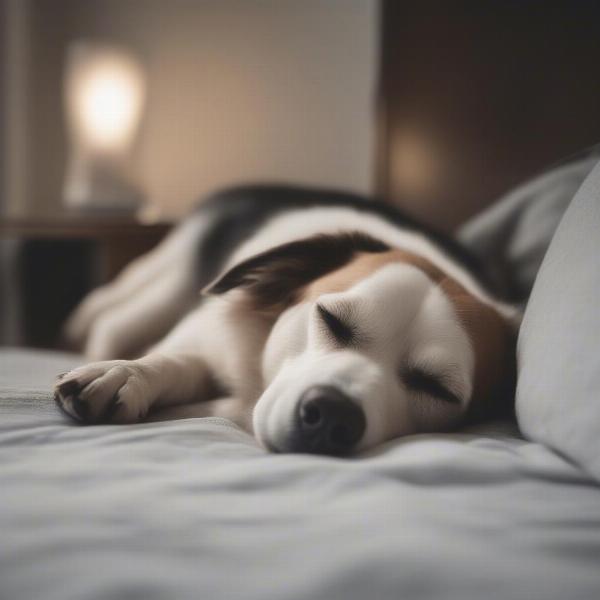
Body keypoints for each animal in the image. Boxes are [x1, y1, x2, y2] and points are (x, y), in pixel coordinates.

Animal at [54, 185, 516, 452]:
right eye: (330, 319)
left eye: (436, 388)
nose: (333, 414)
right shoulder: (208, 333)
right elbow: (175, 359)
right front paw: (127, 374)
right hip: (167, 283)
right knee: (110, 315)